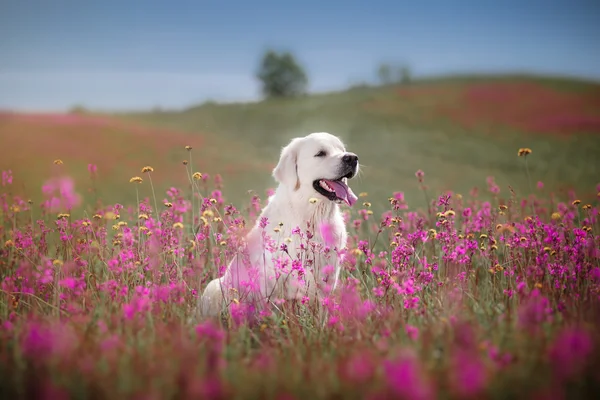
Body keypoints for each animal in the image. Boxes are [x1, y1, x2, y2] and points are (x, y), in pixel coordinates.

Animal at [197, 133, 358, 320]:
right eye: (321, 153)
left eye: (342, 150)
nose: (352, 158)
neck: (311, 217)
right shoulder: (270, 284)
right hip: (214, 287)